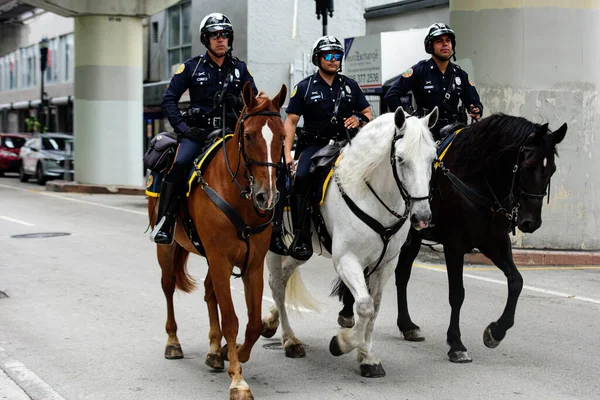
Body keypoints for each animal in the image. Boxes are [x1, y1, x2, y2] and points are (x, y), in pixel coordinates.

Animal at [146, 82, 286, 400]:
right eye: (248, 136)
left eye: (283, 137)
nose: (267, 196)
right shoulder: (221, 259)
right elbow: (232, 319)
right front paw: (238, 380)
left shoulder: (252, 264)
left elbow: (253, 322)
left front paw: (228, 353)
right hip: (168, 248)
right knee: (168, 286)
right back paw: (173, 342)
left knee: (210, 293)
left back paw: (212, 350)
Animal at [260, 106, 438, 378]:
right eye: (400, 159)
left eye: (432, 159)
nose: (422, 217)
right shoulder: (346, 260)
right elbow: (364, 306)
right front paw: (342, 343)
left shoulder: (386, 264)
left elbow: (374, 307)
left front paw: (367, 357)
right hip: (274, 248)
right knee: (276, 285)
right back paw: (290, 340)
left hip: (302, 250)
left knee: (285, 276)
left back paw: (271, 322)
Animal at [338, 112, 568, 362]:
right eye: (527, 165)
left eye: (552, 169)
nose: (530, 222)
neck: (475, 178)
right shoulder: (454, 245)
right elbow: (457, 293)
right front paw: (457, 344)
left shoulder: (494, 242)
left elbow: (516, 282)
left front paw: (496, 332)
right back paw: (348, 312)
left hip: (412, 239)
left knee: (402, 275)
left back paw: (407, 325)